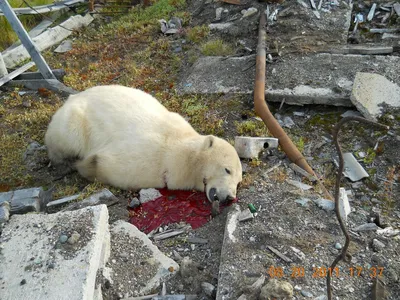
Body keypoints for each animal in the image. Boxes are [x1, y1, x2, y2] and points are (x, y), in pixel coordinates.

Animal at [45, 85, 242, 205]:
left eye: (238, 182)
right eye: (227, 170)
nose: (230, 197)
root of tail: (71, 97)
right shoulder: (148, 159)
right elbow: (106, 166)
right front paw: (85, 167)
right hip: (73, 123)